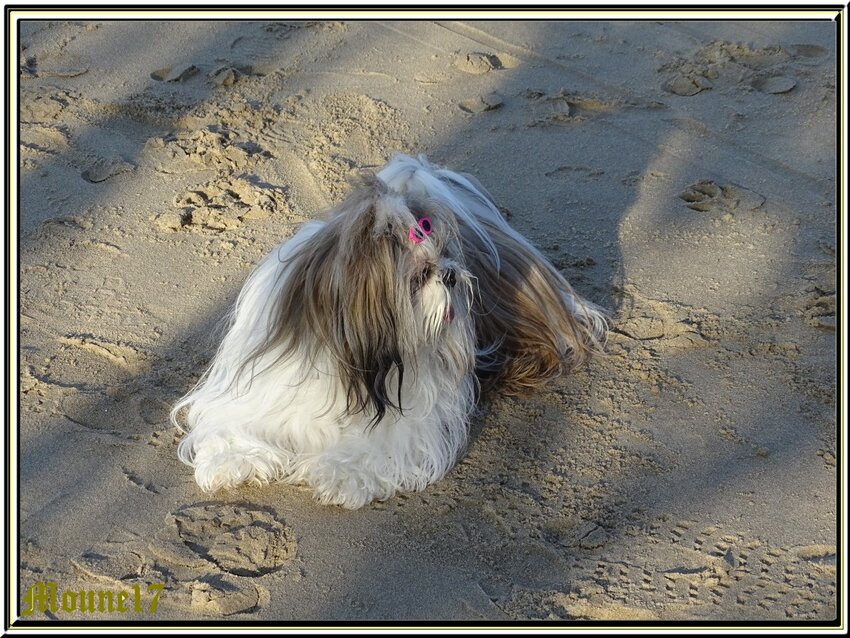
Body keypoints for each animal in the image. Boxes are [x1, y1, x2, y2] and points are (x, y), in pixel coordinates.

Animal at [172, 155, 608, 510]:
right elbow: (231, 425)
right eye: (420, 275)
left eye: (447, 257)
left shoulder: (412, 416)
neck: (344, 364)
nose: (451, 274)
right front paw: (233, 463)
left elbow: (379, 446)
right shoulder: (258, 387)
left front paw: (341, 475)